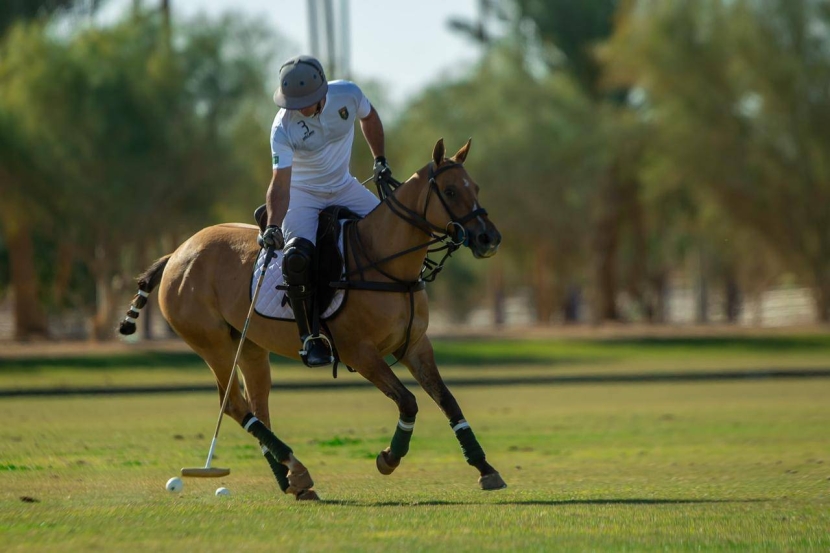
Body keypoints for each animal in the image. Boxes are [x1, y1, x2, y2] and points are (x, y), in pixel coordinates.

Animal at [118, 138, 508, 500]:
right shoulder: (359, 353)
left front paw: (486, 468)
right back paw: (297, 469)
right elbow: (408, 401)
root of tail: (175, 253)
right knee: (234, 404)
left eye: (475, 187)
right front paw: (388, 458)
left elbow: (447, 400)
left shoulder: (415, 345)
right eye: (451, 190)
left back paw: (292, 479)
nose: (489, 237)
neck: (387, 263)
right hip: (212, 344)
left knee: (256, 405)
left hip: (250, 347)